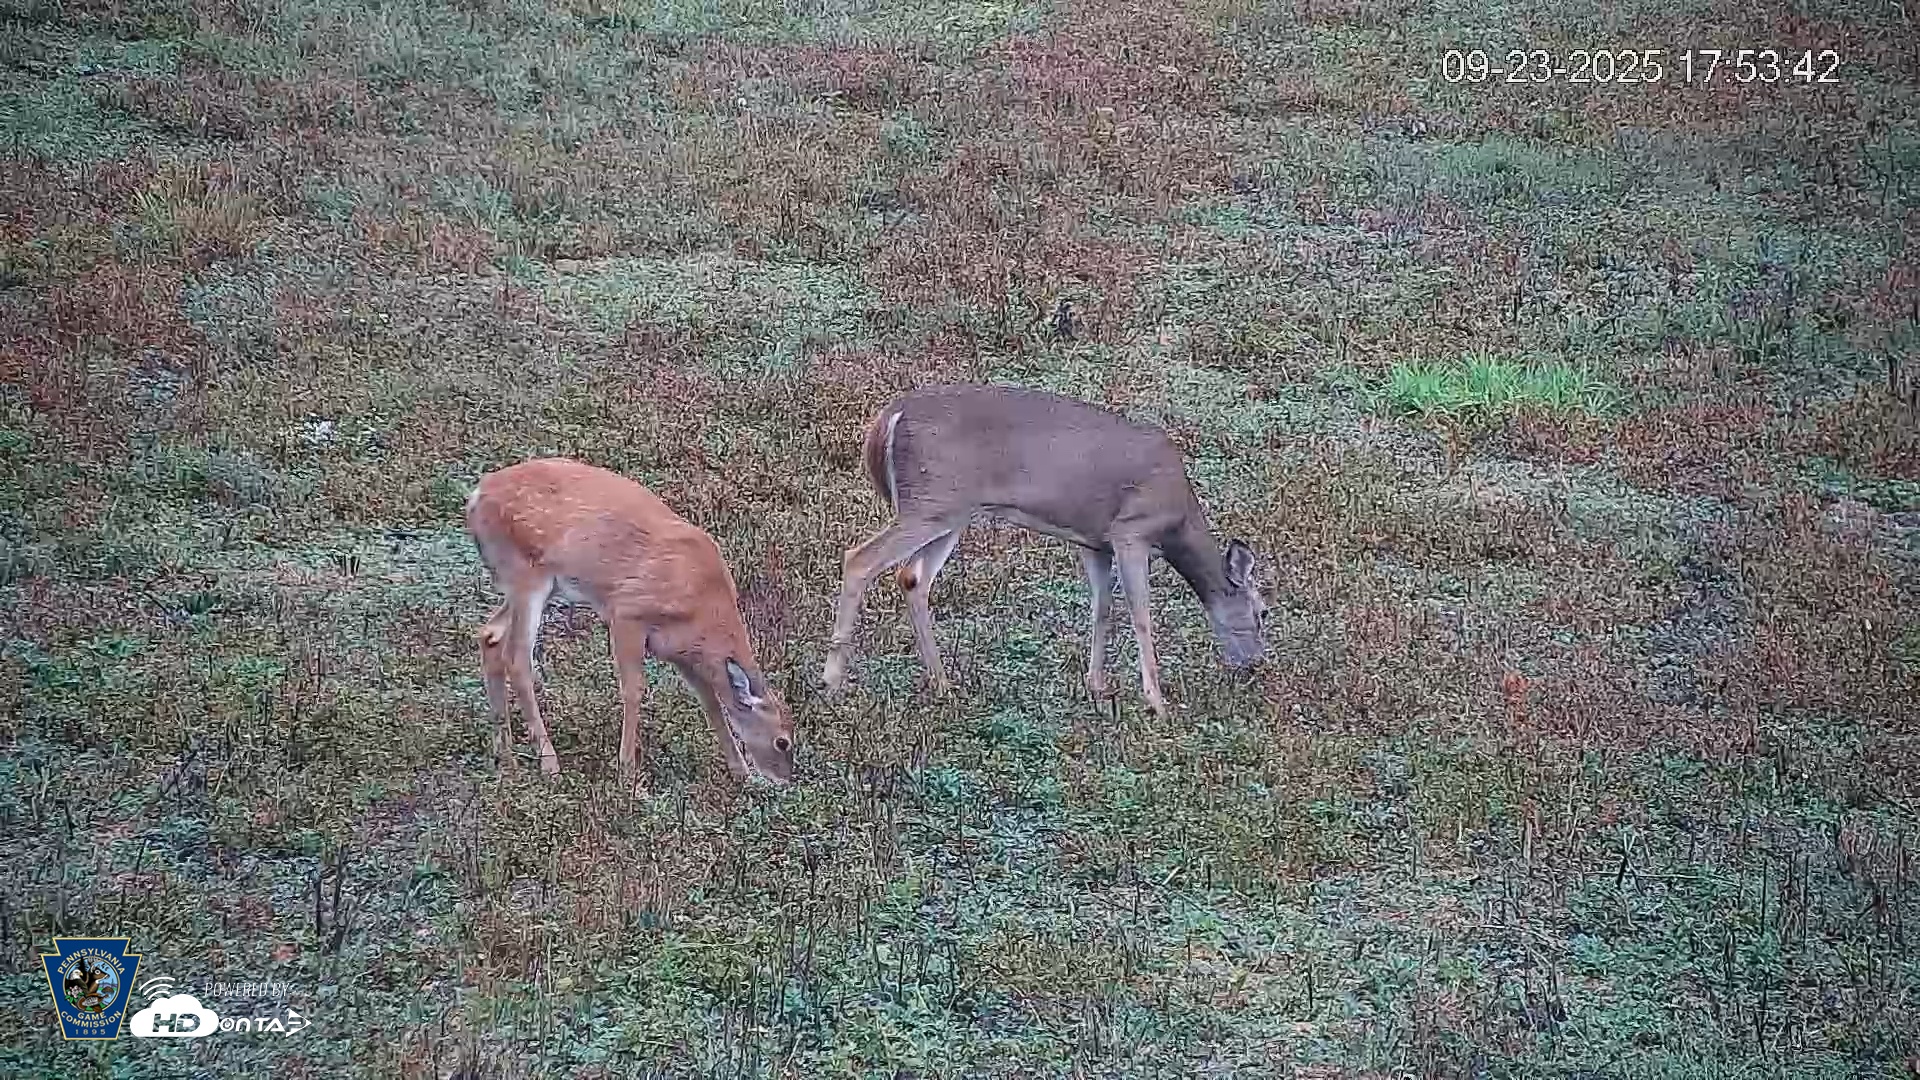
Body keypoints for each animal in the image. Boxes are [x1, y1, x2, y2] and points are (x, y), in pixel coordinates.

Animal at [465, 457, 796, 784]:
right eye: (782, 741)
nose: (785, 778)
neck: (703, 605)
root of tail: (477, 496)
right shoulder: (627, 613)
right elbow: (634, 690)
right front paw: (627, 771)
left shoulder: (679, 651)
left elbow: (710, 702)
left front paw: (740, 771)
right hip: (528, 576)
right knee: (517, 659)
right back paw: (549, 763)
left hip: (527, 584)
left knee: (490, 635)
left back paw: (506, 757)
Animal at [820, 384, 1268, 719]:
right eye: (1263, 611)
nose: (1257, 666)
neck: (1178, 519)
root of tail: (887, 420)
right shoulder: (1131, 530)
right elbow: (1141, 616)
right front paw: (1156, 703)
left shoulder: (1095, 541)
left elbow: (1102, 609)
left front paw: (1097, 686)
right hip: (931, 503)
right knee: (859, 559)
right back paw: (831, 681)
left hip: (950, 511)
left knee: (912, 577)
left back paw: (944, 684)